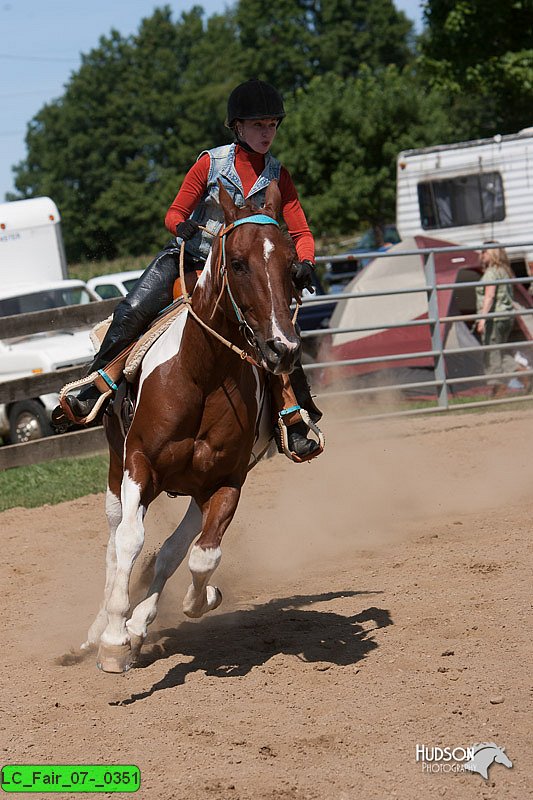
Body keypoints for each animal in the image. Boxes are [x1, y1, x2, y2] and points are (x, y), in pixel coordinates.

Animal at [81, 180, 302, 668]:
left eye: (292, 264)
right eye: (237, 262)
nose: (282, 349)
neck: (202, 375)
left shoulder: (225, 481)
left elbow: (200, 556)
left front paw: (198, 601)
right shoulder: (139, 464)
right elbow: (129, 541)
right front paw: (112, 640)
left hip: (193, 491)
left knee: (172, 551)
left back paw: (140, 623)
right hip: (116, 461)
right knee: (114, 538)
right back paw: (97, 629)